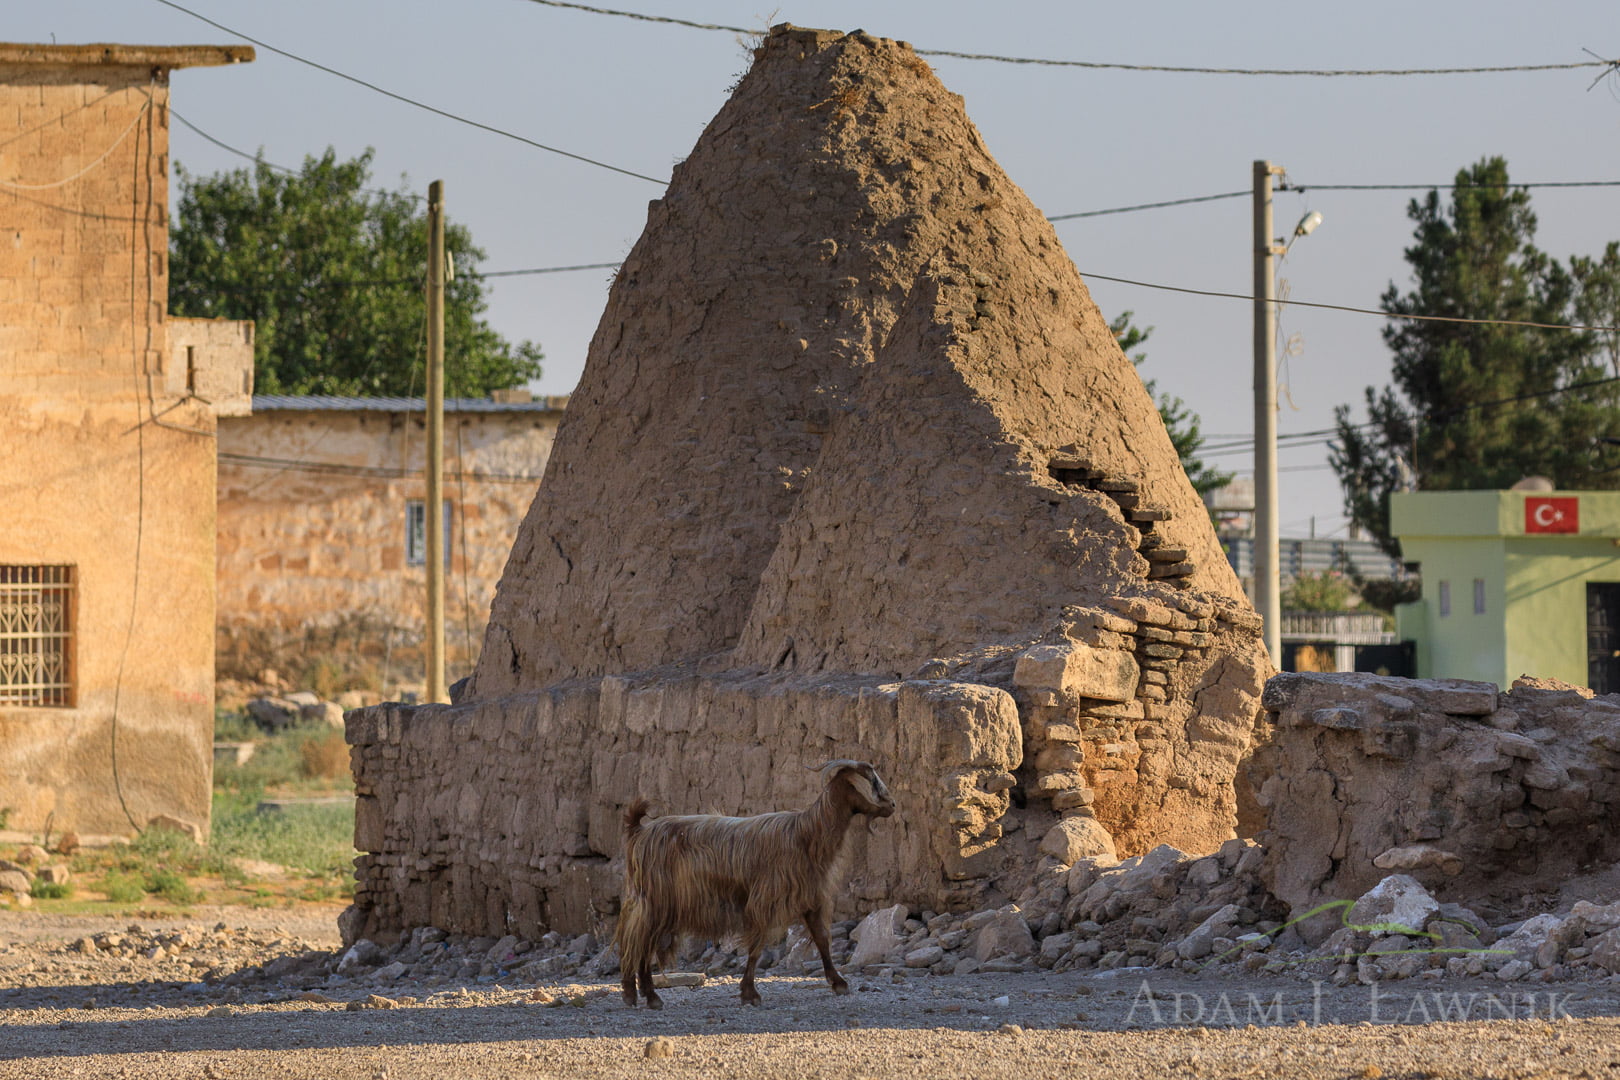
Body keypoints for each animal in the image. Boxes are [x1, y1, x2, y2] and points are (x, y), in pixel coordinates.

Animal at [615, 761, 900, 1003]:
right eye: (869, 783)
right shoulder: (765, 898)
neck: (806, 835)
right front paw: (749, 992)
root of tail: (640, 830)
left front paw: (838, 982)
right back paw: (642, 994)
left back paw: (642, 994)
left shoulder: (810, 897)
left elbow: (822, 940)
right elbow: (757, 945)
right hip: (656, 899)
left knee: (641, 940)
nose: (892, 805)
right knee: (637, 939)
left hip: (655, 902)